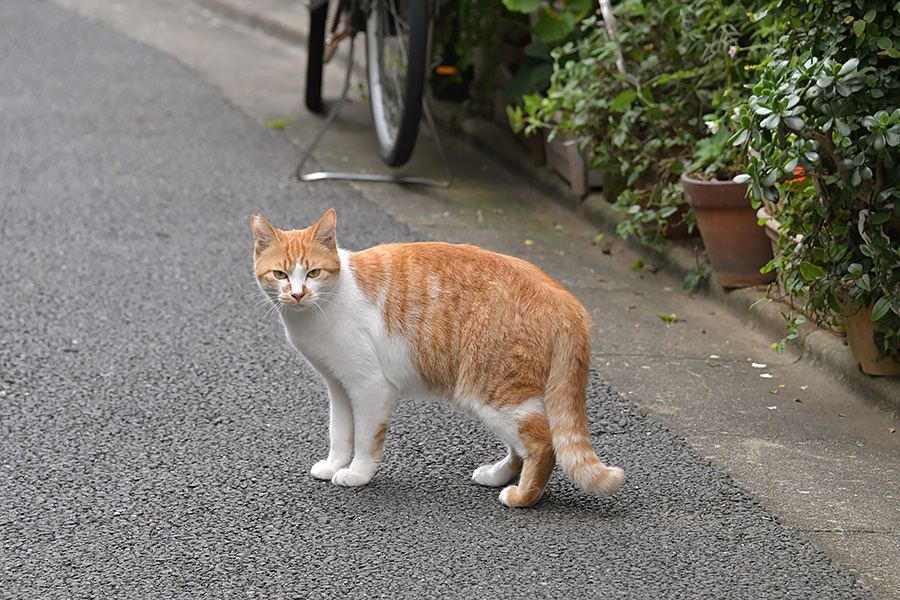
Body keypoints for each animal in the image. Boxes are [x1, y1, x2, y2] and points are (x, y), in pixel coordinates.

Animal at [250, 211, 624, 506]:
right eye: (281, 275)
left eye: (313, 273)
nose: (298, 294)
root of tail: (565, 298)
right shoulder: (339, 386)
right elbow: (340, 432)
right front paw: (334, 464)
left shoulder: (370, 387)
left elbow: (367, 440)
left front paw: (356, 473)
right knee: (522, 445)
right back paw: (497, 475)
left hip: (488, 390)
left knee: (543, 443)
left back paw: (522, 497)